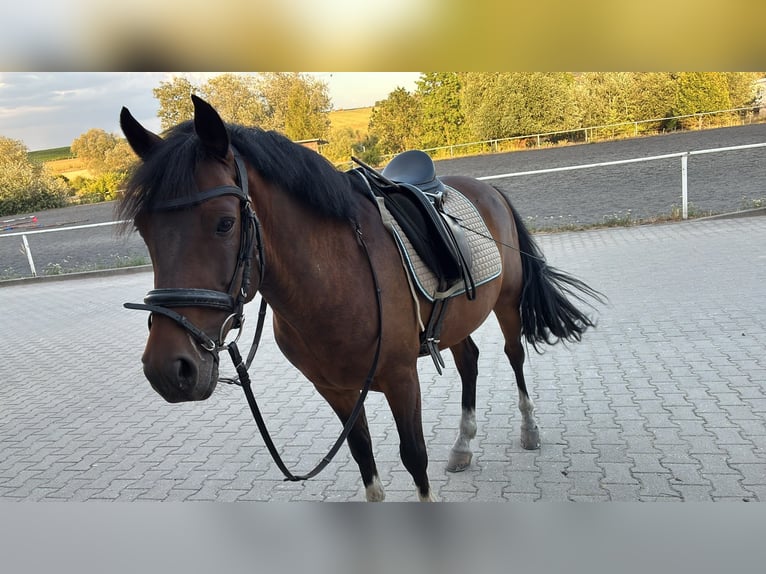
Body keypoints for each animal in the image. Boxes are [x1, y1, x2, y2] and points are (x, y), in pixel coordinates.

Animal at [118, 95, 602, 501]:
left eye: (224, 223)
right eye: (144, 229)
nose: (169, 368)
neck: (334, 280)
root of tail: (487, 188)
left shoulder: (401, 378)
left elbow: (414, 457)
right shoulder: (335, 389)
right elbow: (363, 456)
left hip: (507, 302)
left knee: (514, 354)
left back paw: (529, 428)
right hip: (456, 319)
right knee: (470, 361)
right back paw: (463, 445)